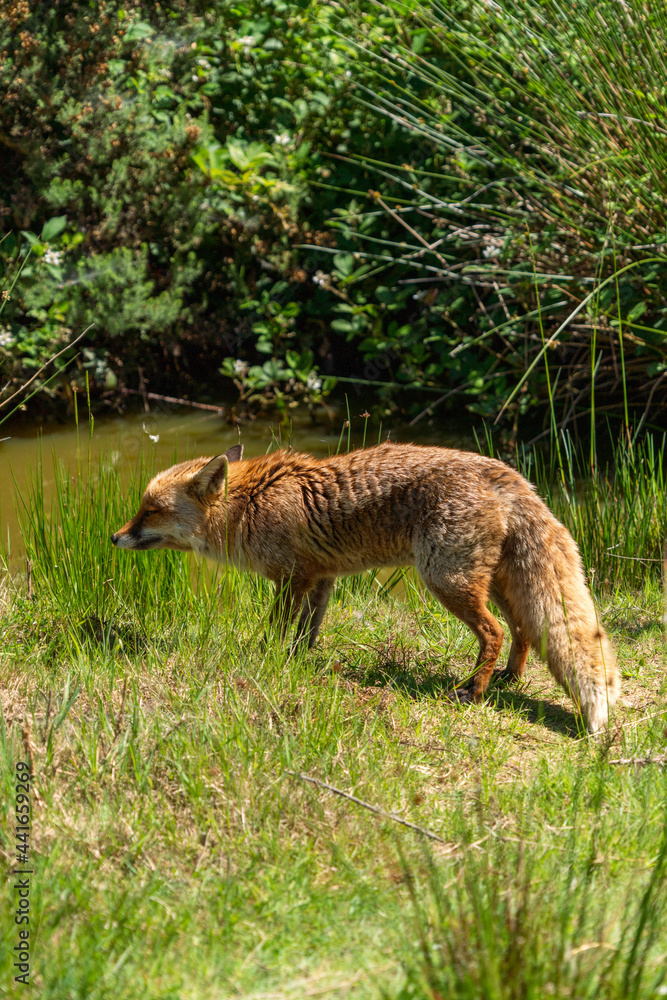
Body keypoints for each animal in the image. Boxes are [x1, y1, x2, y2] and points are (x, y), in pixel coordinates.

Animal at [112, 442, 619, 732]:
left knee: (493, 632)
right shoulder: (320, 579)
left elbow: (275, 629)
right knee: (523, 630)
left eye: (150, 510)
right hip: (489, 583)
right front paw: (298, 662)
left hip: (446, 580)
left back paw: (473, 692)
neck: (249, 504)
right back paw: (506, 678)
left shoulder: (291, 579)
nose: (114, 537)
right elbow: (306, 633)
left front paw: (261, 658)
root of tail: (503, 473)